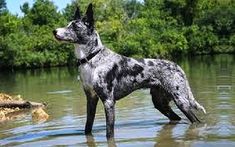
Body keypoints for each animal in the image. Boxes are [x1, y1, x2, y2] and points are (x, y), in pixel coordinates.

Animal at [53, 3, 206, 139]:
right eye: (68, 24)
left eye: (74, 26)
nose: (54, 31)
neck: (92, 59)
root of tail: (177, 66)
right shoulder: (91, 99)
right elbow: (87, 127)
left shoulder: (108, 101)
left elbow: (109, 133)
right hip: (160, 103)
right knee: (176, 118)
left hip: (181, 101)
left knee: (196, 121)